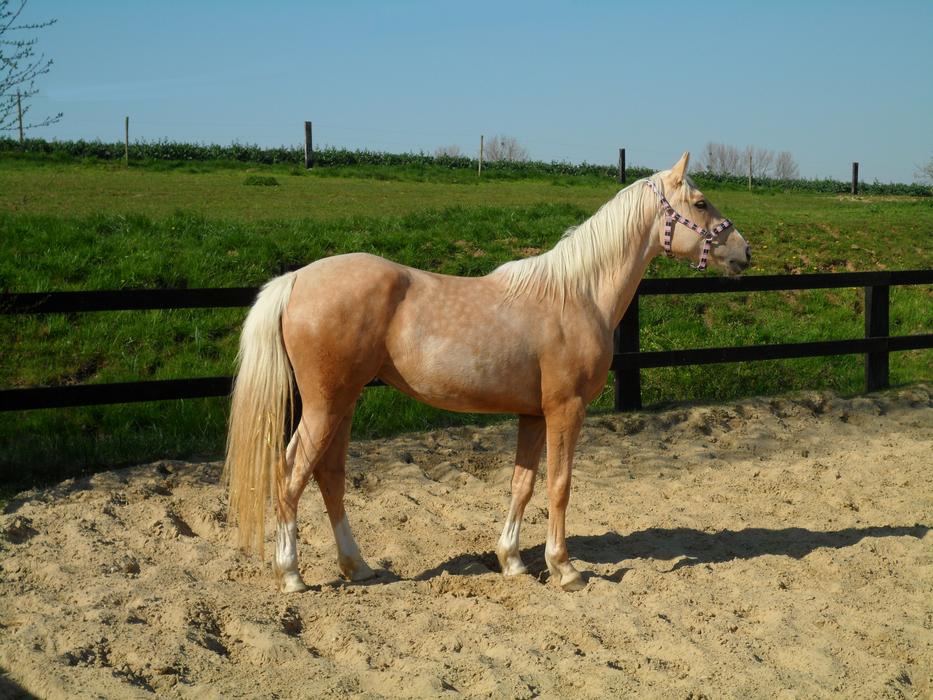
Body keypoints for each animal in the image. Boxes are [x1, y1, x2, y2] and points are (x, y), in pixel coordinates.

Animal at [223, 152, 751, 593]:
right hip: (325, 404)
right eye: (700, 202)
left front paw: (512, 561)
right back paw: (292, 574)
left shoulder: (534, 415)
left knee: (329, 474)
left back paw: (359, 567)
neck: (577, 294)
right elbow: (560, 485)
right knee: (291, 473)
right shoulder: (566, 410)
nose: (744, 253)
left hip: (344, 402)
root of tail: (295, 280)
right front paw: (565, 569)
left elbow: (523, 484)